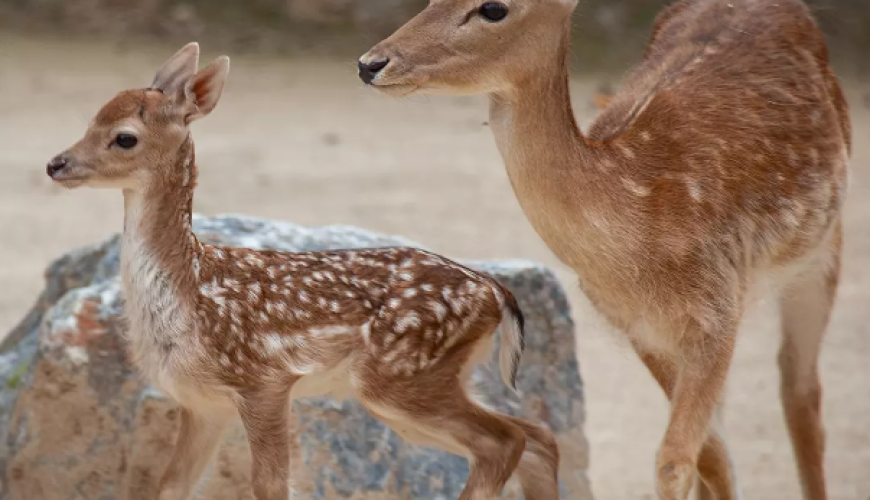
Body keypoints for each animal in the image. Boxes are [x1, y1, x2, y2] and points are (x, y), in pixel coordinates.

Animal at [47, 43, 560, 500]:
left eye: (125, 137)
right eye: (91, 119)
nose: (55, 164)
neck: (191, 292)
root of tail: (496, 292)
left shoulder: (265, 380)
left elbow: (269, 485)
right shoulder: (201, 403)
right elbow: (170, 486)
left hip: (403, 376)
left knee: (506, 441)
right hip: (432, 383)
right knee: (537, 437)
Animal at [360, 0, 852, 500]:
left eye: (494, 9)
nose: (370, 63)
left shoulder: (715, 314)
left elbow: (675, 461)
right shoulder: (640, 327)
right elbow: (710, 456)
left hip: (823, 251)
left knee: (801, 396)